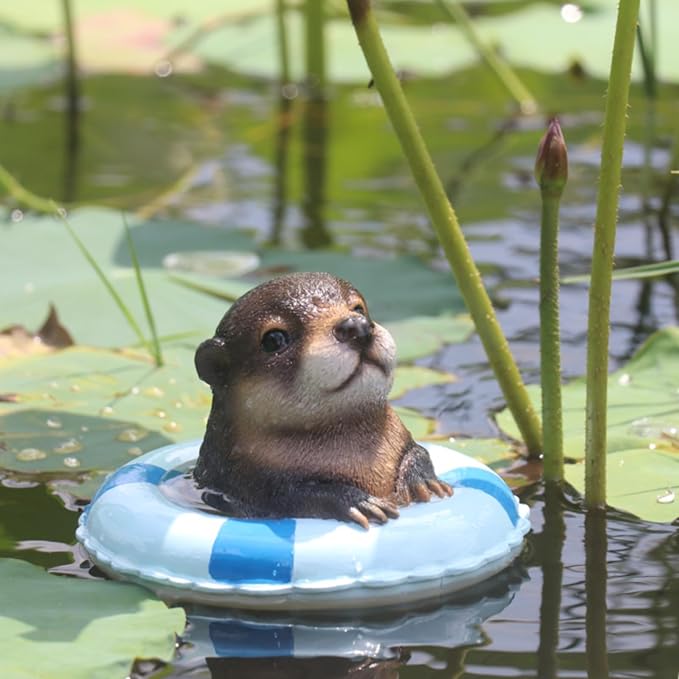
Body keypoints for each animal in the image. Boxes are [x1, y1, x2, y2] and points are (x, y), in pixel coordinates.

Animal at [194, 272, 452, 529]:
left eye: (359, 309)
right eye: (273, 339)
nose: (356, 325)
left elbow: (418, 449)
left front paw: (422, 479)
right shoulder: (254, 484)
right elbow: (298, 495)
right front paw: (359, 501)